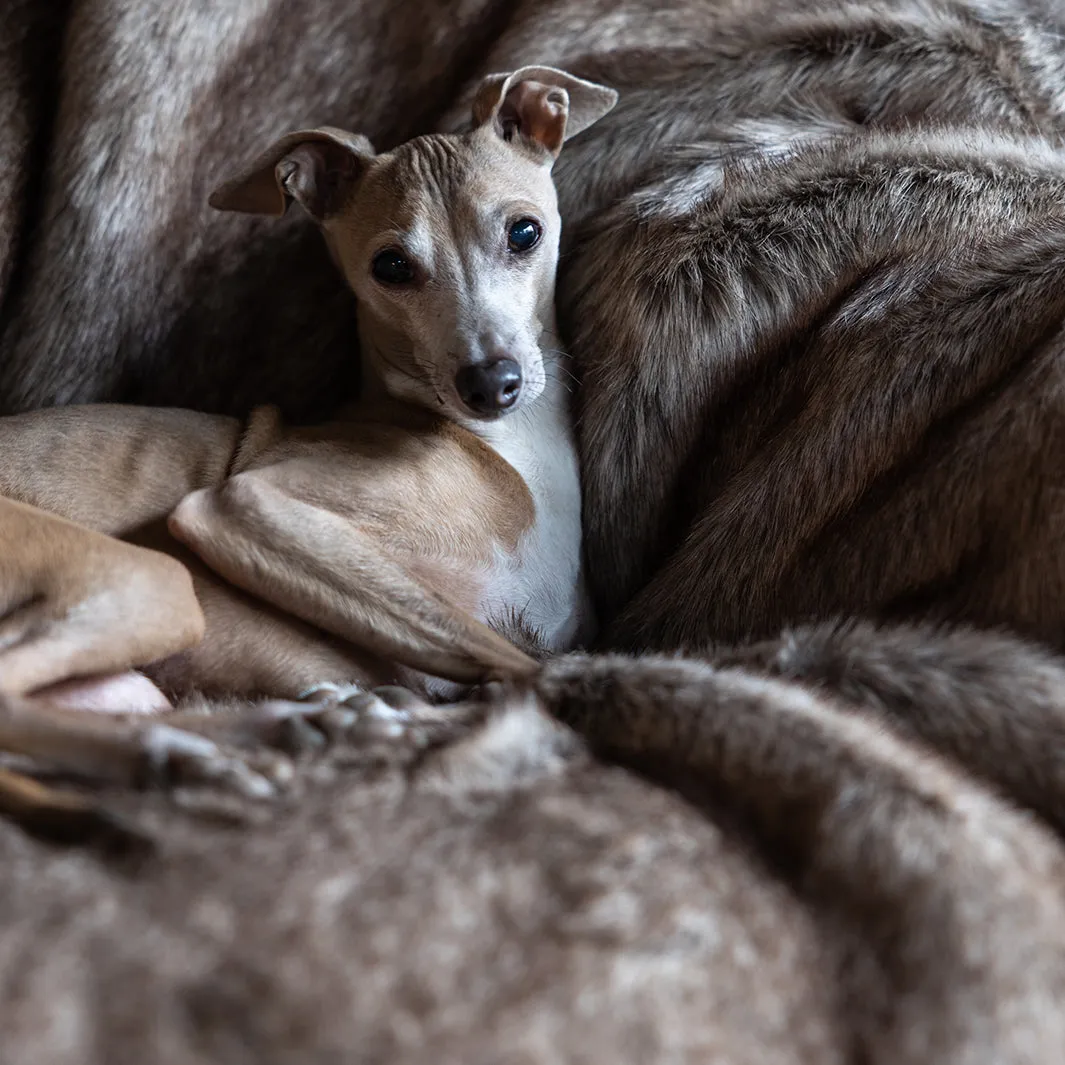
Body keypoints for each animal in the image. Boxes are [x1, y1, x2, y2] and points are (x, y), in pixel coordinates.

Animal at [0, 62, 617, 830]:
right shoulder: (241, 506)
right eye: (391, 266)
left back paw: (289, 731)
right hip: (140, 577)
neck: (506, 452)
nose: (490, 382)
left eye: (524, 232)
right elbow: (522, 662)